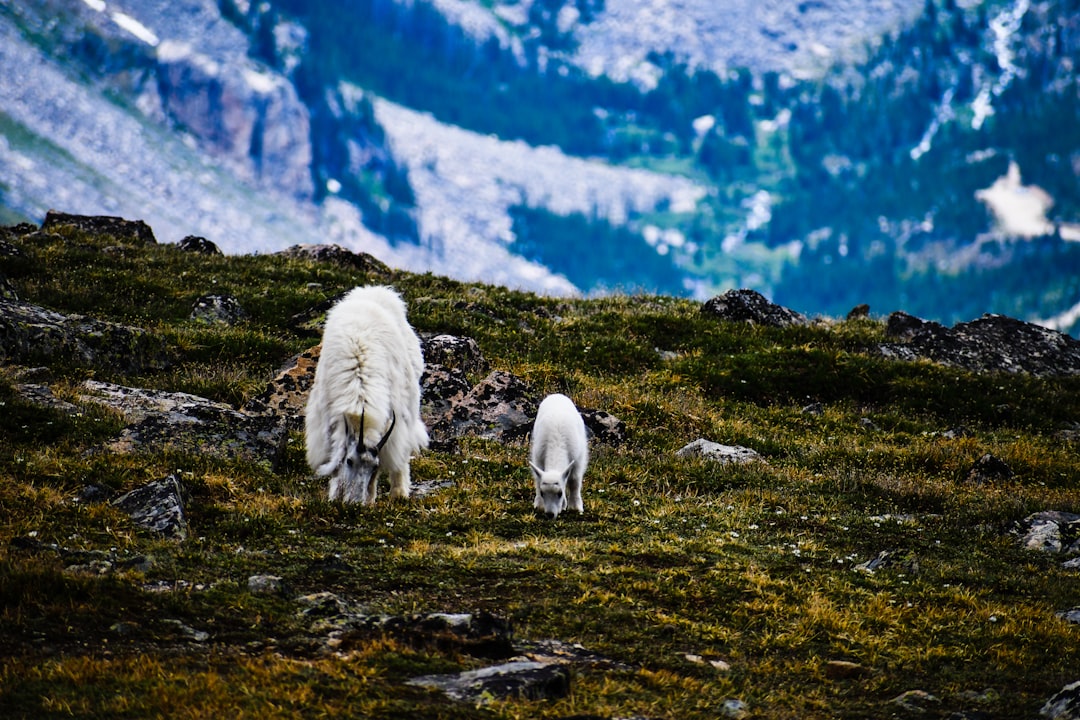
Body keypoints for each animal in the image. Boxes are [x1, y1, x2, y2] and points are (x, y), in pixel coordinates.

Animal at [304, 284, 429, 505]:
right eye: (349, 461)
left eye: (374, 466)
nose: (354, 504)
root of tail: (374, 290)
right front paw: (335, 495)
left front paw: (369, 499)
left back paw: (399, 492)